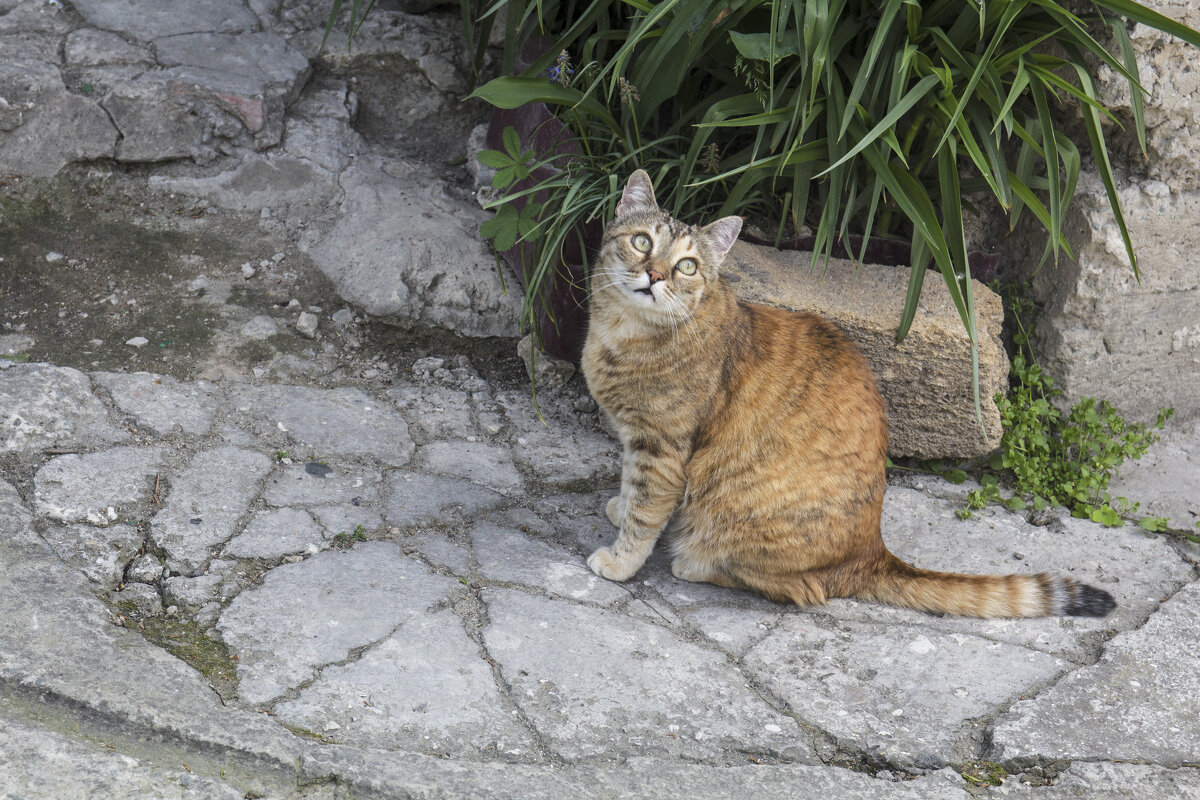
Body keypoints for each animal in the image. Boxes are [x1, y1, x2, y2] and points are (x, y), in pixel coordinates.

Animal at [578, 169, 1113, 618]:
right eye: (642, 242)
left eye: (687, 266)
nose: (656, 275)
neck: (622, 336)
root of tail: (873, 552)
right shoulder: (635, 438)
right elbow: (630, 486)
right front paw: (619, 508)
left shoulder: (662, 448)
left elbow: (646, 512)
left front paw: (620, 559)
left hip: (732, 513)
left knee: (797, 587)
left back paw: (692, 562)